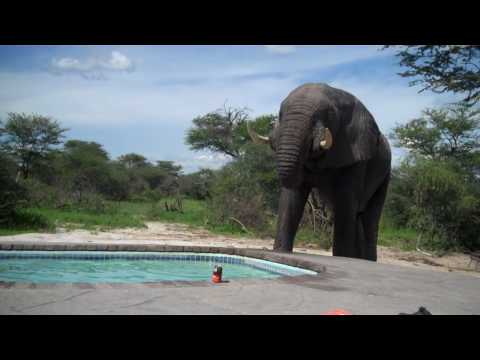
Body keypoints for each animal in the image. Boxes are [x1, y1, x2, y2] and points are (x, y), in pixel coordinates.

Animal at [249, 83, 392, 260]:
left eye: (328, 113)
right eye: (280, 113)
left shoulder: (356, 155)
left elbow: (346, 199)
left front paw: (342, 258)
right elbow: (292, 197)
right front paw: (280, 252)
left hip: (385, 175)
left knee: (369, 219)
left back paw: (365, 260)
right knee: (356, 215)